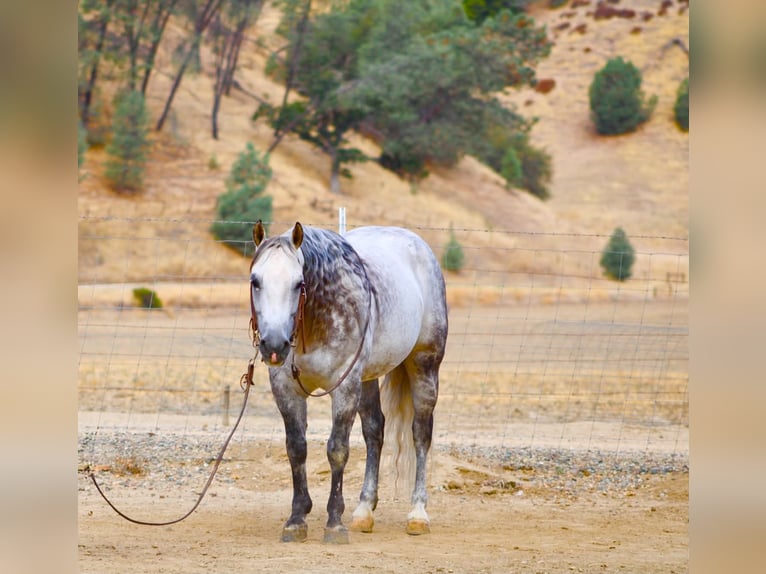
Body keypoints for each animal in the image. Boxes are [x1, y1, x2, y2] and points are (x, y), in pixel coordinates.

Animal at [248, 221, 448, 543]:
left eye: (298, 283)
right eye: (256, 281)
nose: (275, 344)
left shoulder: (344, 387)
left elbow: (337, 449)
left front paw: (334, 522)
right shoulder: (286, 389)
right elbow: (297, 449)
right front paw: (296, 519)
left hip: (424, 365)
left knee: (420, 433)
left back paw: (418, 514)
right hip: (367, 378)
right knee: (374, 431)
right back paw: (364, 511)